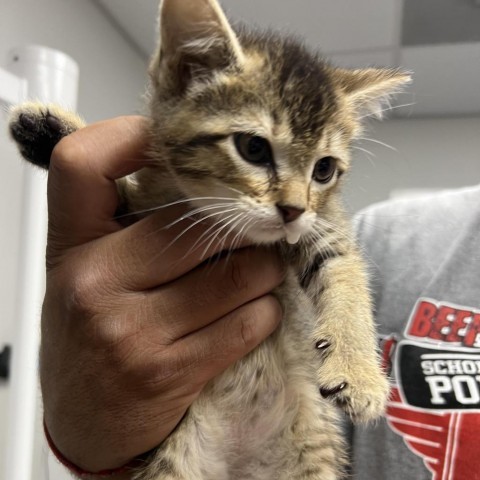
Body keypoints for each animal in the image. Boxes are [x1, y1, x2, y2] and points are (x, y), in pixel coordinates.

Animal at [9, 0, 410, 480]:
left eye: (324, 169)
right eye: (253, 148)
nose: (293, 210)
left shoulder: (324, 226)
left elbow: (346, 279)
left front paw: (360, 372)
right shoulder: (144, 208)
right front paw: (50, 130)